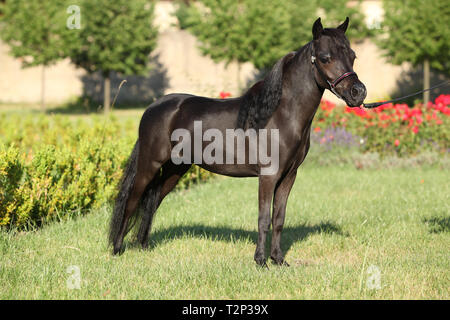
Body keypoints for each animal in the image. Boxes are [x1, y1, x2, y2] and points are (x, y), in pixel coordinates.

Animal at [109, 18, 366, 268]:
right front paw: (261, 261)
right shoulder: (268, 176)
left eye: (353, 56)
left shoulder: (289, 176)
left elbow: (278, 219)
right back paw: (116, 249)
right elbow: (263, 219)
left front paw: (279, 260)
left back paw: (143, 246)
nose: (358, 93)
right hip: (149, 165)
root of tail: (153, 108)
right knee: (131, 201)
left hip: (175, 170)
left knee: (152, 203)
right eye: (325, 57)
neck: (280, 114)